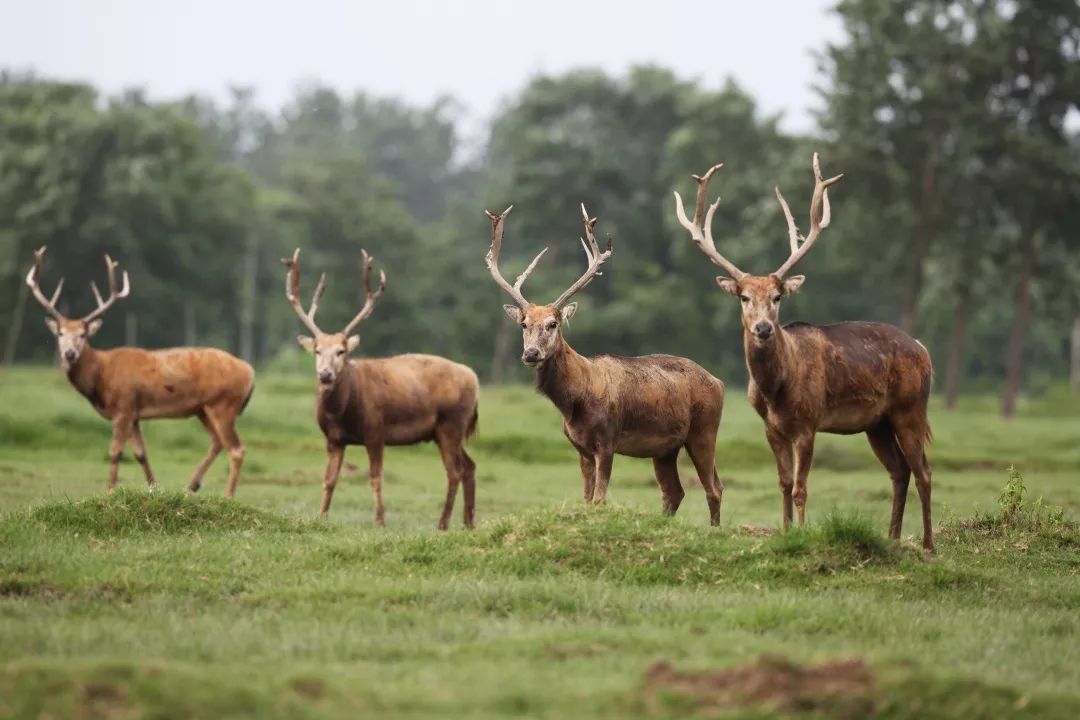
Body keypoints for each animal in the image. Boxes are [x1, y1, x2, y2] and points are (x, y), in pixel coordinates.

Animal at [25, 246, 254, 496]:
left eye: (83, 335)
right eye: (60, 333)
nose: (69, 354)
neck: (101, 375)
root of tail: (250, 372)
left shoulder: (123, 406)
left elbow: (115, 451)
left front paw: (109, 491)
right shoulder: (134, 413)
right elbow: (140, 453)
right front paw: (154, 487)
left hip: (223, 404)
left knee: (237, 449)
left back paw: (228, 496)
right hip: (203, 409)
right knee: (217, 442)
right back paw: (192, 485)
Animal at [282, 248, 477, 528]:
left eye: (341, 351)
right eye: (317, 350)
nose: (325, 375)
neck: (343, 414)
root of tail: (474, 379)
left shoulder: (376, 431)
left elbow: (375, 478)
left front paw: (380, 522)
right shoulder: (333, 439)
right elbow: (329, 480)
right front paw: (321, 516)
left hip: (451, 423)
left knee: (455, 471)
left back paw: (442, 524)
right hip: (447, 431)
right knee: (470, 466)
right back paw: (468, 522)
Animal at [488, 202, 725, 524]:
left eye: (553, 324)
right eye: (524, 324)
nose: (531, 354)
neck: (576, 401)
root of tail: (718, 382)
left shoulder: (608, 440)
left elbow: (600, 499)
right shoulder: (581, 448)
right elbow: (587, 499)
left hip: (705, 428)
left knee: (714, 487)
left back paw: (714, 529)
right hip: (666, 448)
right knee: (674, 492)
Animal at [673, 153, 937, 552]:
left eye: (778, 297)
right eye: (744, 297)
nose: (763, 328)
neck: (776, 390)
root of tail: (923, 349)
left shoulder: (809, 422)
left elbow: (801, 488)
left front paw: (803, 534)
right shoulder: (771, 427)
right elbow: (783, 483)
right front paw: (785, 533)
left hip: (911, 407)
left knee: (924, 471)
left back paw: (928, 545)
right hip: (877, 422)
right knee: (900, 471)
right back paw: (892, 537)